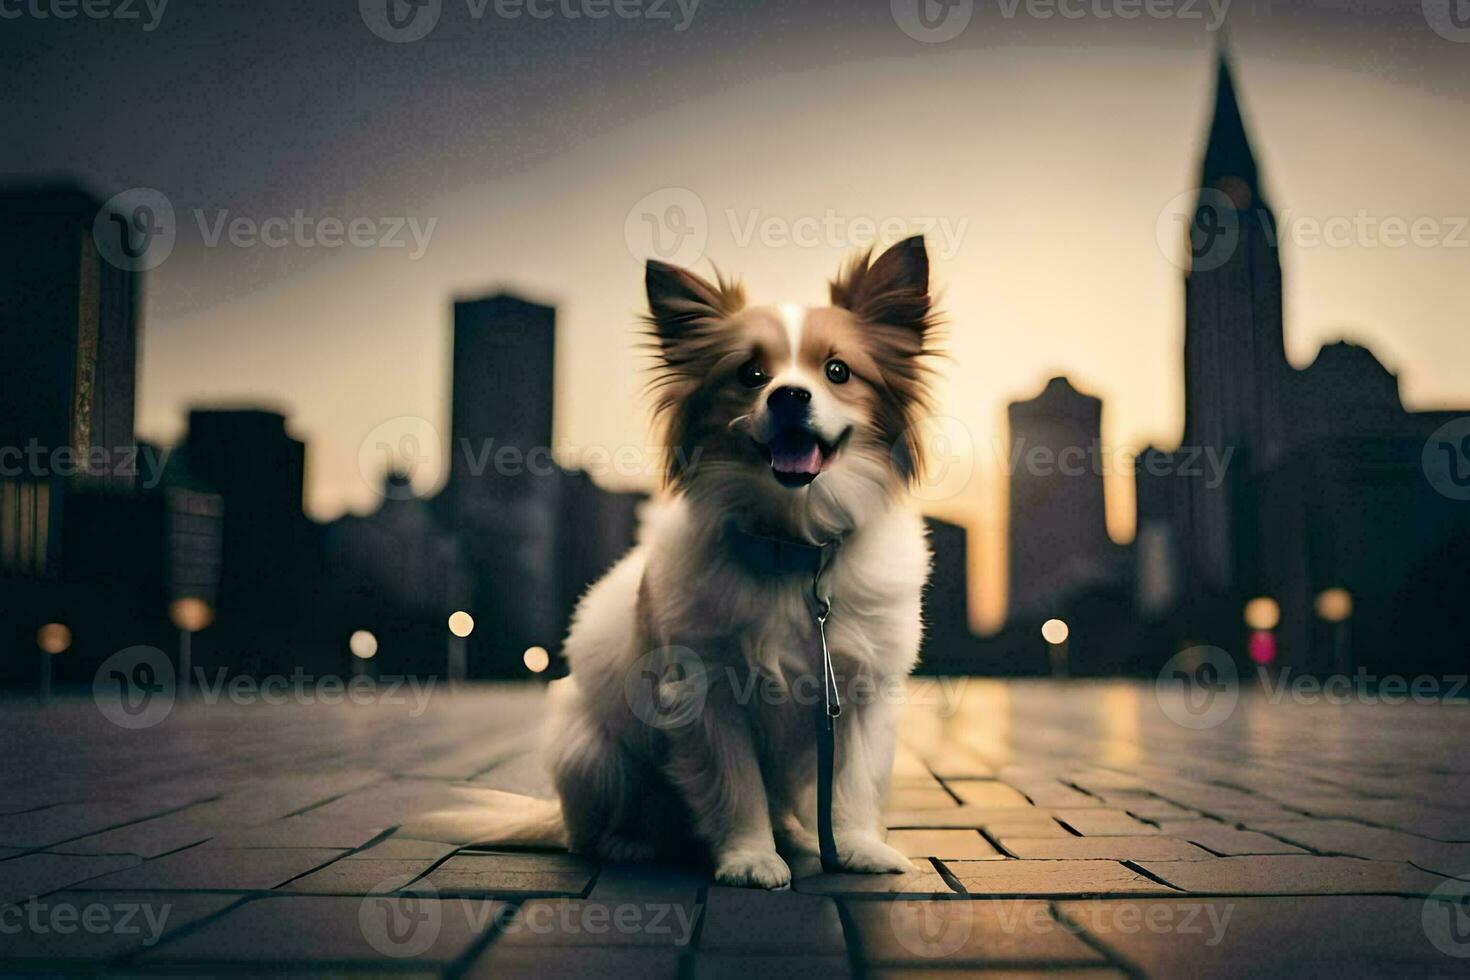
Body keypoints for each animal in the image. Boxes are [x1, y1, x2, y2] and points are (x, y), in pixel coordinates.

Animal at [411, 235, 940, 887]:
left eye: (837, 371)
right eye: (751, 374)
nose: (789, 395)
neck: (792, 545)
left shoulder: (859, 694)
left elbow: (853, 785)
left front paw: (858, 848)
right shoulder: (704, 692)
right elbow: (738, 788)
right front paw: (750, 858)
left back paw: (799, 838)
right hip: (593, 755)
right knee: (594, 830)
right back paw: (628, 844)